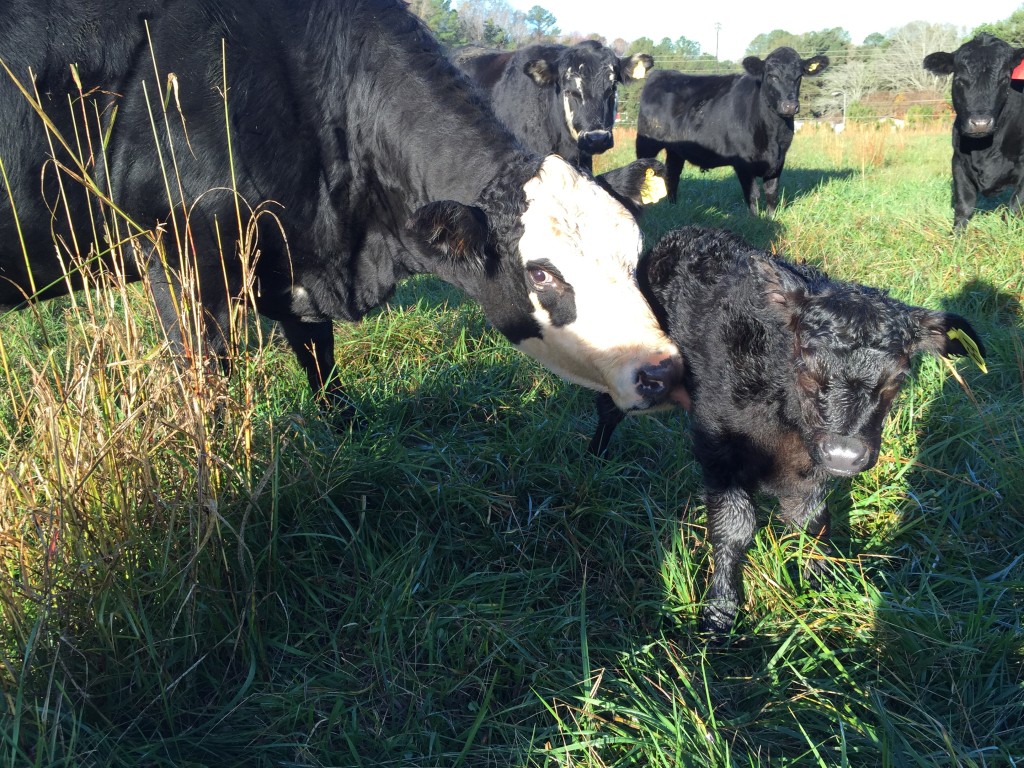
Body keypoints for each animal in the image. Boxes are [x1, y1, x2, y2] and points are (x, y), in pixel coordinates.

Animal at [2, 0, 688, 417]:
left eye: (635, 257)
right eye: (543, 273)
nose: (664, 370)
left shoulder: (294, 256)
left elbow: (320, 364)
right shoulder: (180, 260)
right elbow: (208, 394)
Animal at [593, 228, 983, 638]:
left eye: (896, 379)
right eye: (807, 367)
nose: (844, 453)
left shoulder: (809, 470)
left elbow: (812, 522)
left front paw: (823, 586)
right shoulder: (719, 452)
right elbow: (733, 526)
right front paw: (719, 611)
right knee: (609, 407)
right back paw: (596, 457)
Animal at [634, 47, 827, 217]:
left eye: (799, 76)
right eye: (772, 75)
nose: (790, 106)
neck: (773, 136)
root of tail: (661, 74)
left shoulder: (779, 161)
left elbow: (772, 193)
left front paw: (770, 218)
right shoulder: (743, 164)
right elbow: (752, 195)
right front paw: (755, 220)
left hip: (676, 150)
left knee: (672, 175)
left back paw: (673, 207)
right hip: (646, 144)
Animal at [921, 33, 1024, 230]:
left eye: (1004, 80)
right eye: (960, 80)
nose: (980, 123)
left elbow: (1015, 207)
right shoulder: (958, 161)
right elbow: (964, 205)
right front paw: (956, 235)